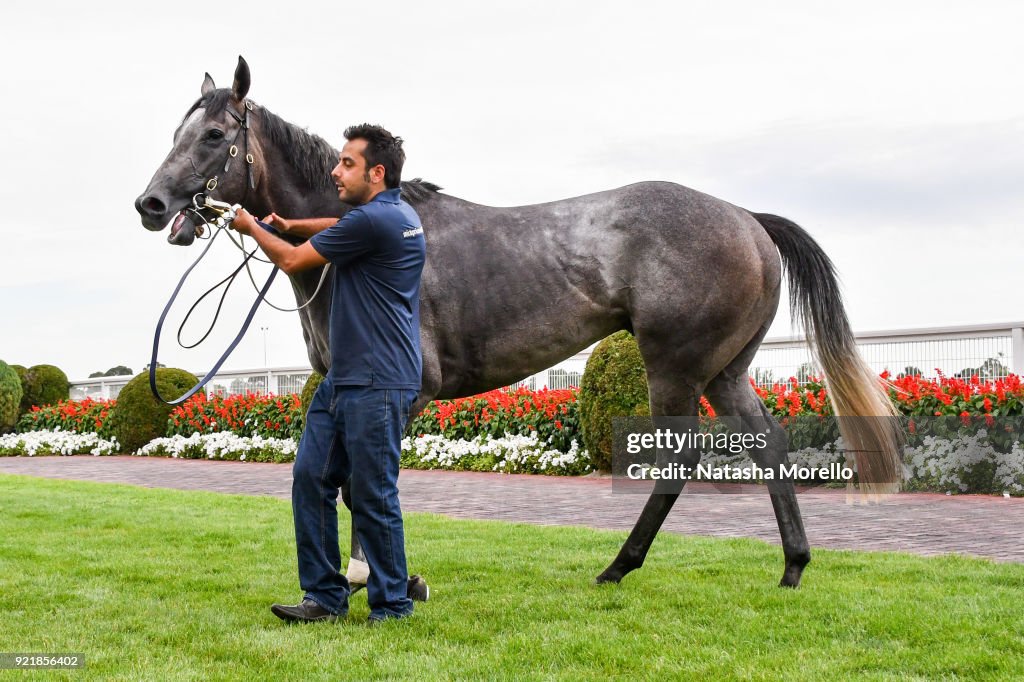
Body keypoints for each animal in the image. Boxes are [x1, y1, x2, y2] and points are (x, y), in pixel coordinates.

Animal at [138, 58, 905, 585]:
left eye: (213, 135)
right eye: (174, 131)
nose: (150, 204)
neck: (343, 240)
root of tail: (748, 219)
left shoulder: (408, 389)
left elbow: (366, 480)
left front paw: (370, 576)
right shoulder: (339, 388)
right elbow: (341, 478)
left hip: (676, 363)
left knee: (678, 462)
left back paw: (619, 566)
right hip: (727, 368)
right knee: (768, 444)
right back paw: (793, 565)